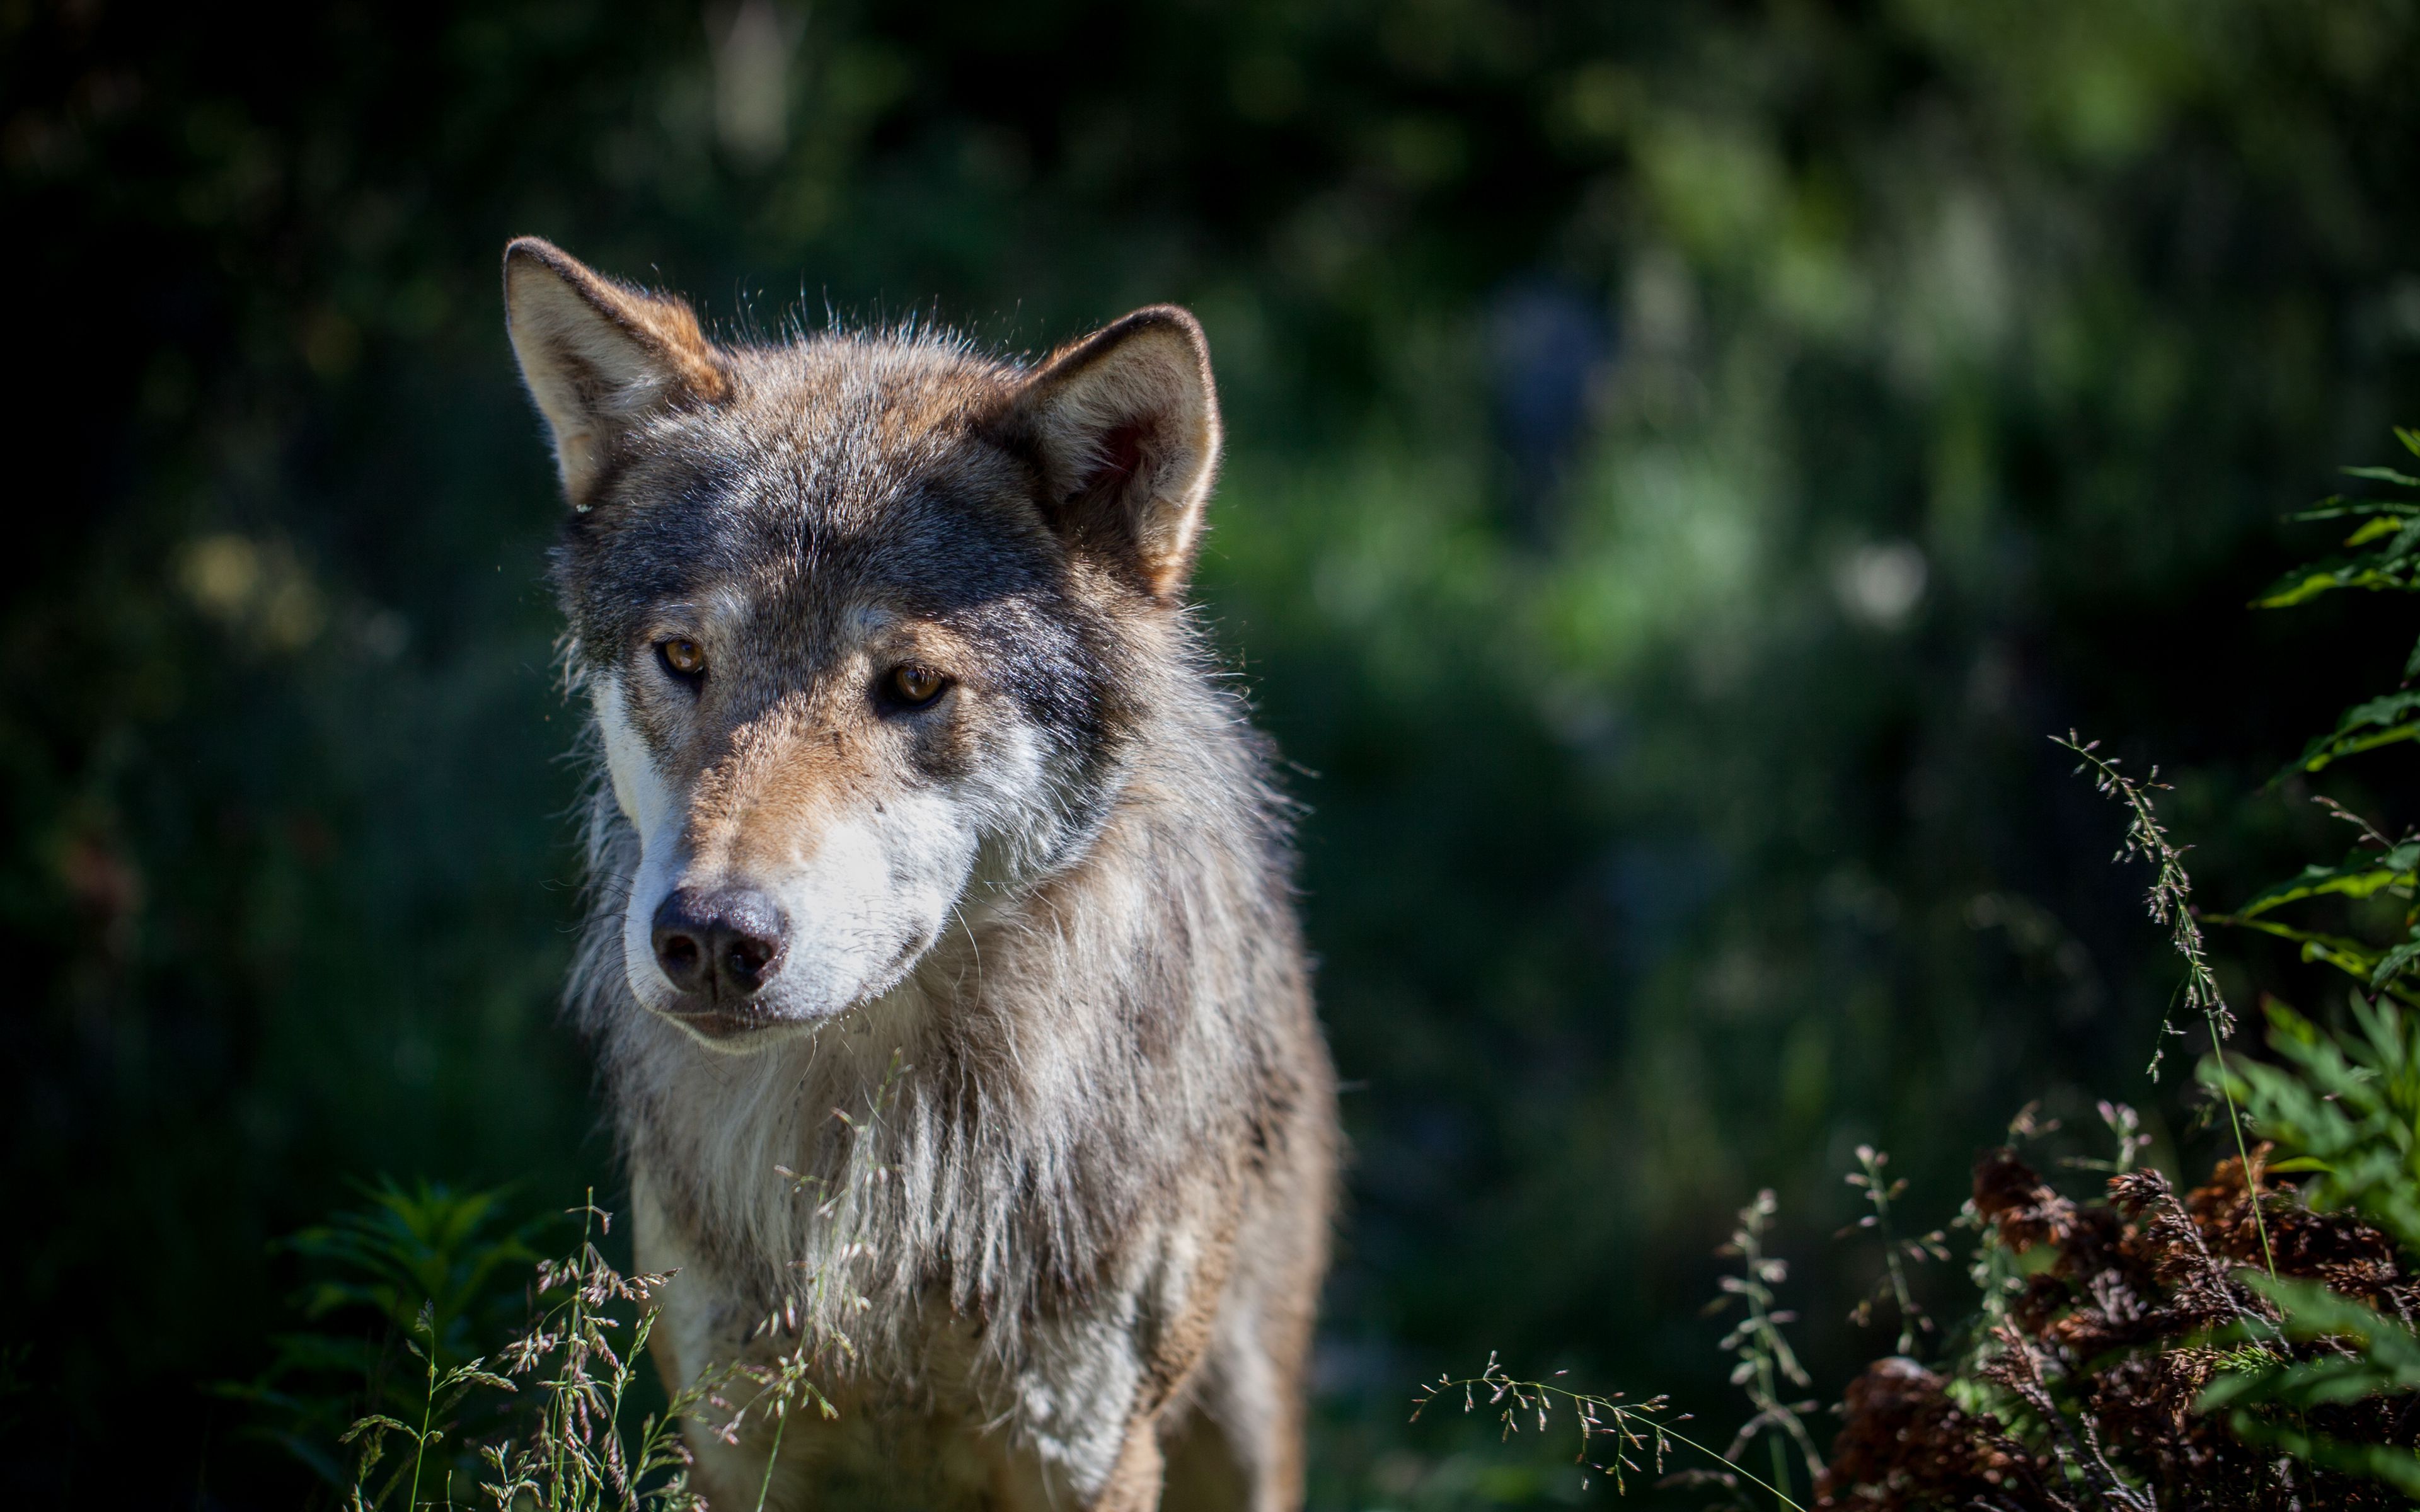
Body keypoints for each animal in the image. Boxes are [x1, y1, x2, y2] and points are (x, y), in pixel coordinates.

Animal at [503, 238, 1345, 1509]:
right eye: (684, 658)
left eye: (910, 685)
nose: (712, 937)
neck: (893, 1164)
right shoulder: (734, 1442)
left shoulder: (1087, 1453)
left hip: (1243, 1423)